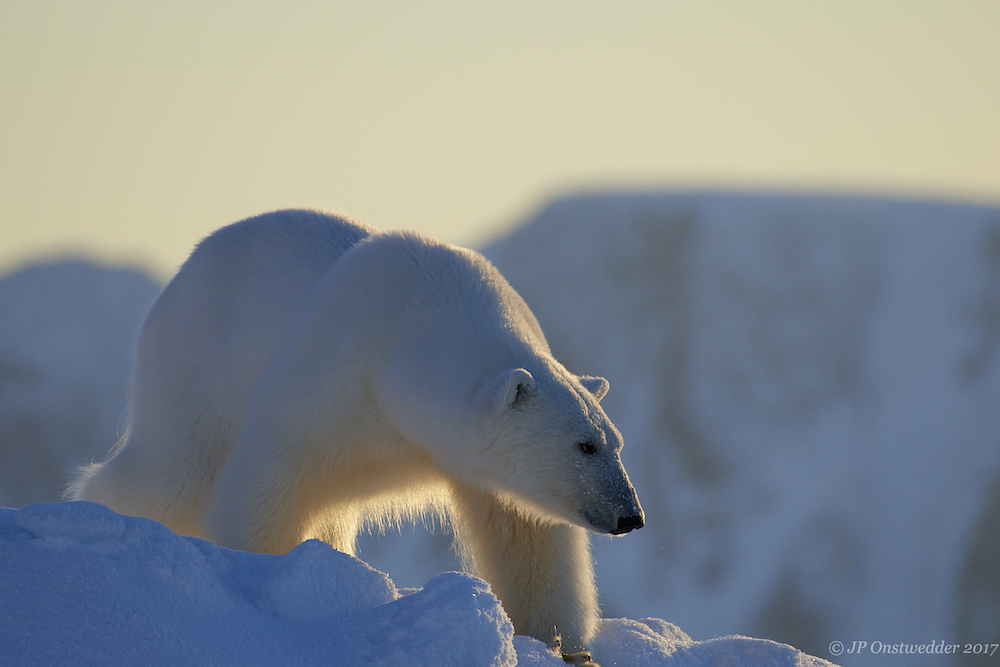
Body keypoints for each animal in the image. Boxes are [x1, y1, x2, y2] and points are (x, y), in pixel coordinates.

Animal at [72, 210, 648, 652]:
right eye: (585, 445)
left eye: (614, 443)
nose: (631, 516)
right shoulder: (335, 376)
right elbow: (270, 478)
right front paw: (274, 578)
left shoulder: (464, 454)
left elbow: (527, 534)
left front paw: (559, 641)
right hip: (193, 364)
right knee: (170, 471)